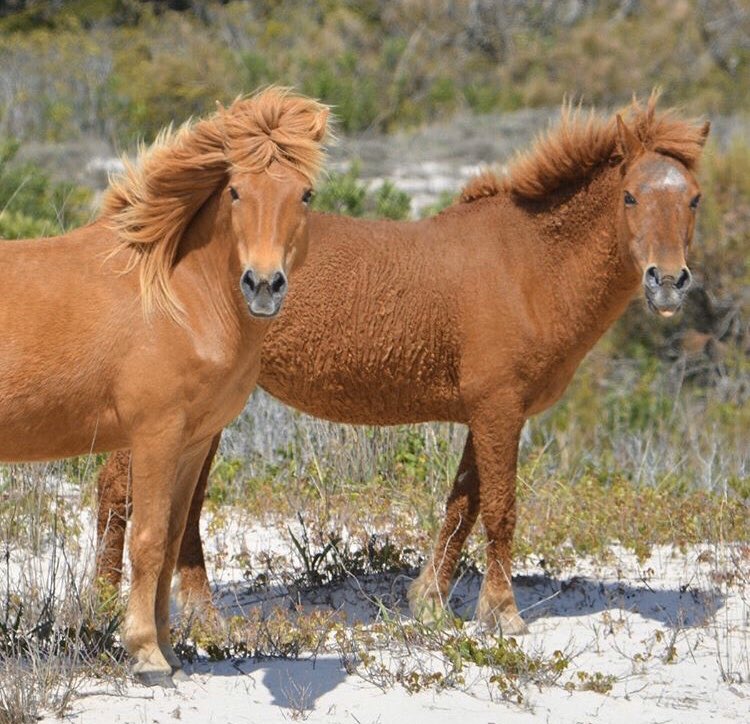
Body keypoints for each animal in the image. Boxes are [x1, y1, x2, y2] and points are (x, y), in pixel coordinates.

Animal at [0, 87, 329, 686]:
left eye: (305, 193)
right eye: (236, 191)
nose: (263, 285)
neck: (177, 298)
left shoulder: (192, 442)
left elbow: (174, 537)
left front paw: (170, 650)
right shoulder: (155, 434)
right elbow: (149, 540)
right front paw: (146, 655)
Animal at [96, 94, 709, 636]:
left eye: (695, 199)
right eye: (630, 197)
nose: (668, 282)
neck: (530, 263)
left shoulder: (486, 414)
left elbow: (462, 505)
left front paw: (432, 602)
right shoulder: (500, 409)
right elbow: (500, 509)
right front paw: (503, 613)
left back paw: (198, 615)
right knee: (119, 492)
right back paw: (105, 606)